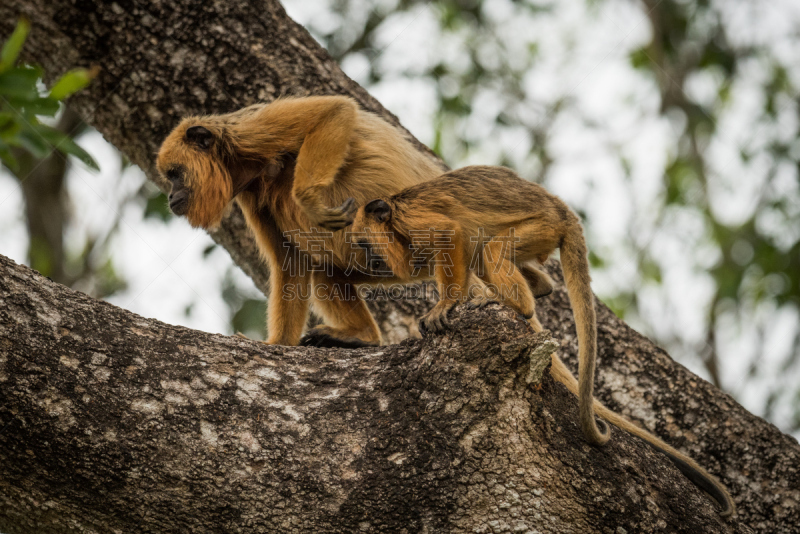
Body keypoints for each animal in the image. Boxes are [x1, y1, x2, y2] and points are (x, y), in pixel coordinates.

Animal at [156, 95, 444, 348]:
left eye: (174, 174)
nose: (170, 196)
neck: (243, 162)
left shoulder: (250, 132)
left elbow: (334, 110)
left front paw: (309, 201)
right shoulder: (250, 191)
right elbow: (290, 261)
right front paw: (278, 343)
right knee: (326, 273)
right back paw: (363, 336)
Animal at [346, 166, 736, 520]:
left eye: (365, 245)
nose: (368, 263)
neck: (395, 221)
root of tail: (563, 211)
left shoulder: (415, 221)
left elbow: (450, 233)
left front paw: (446, 305)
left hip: (541, 226)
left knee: (492, 248)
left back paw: (516, 304)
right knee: (490, 257)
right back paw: (536, 289)